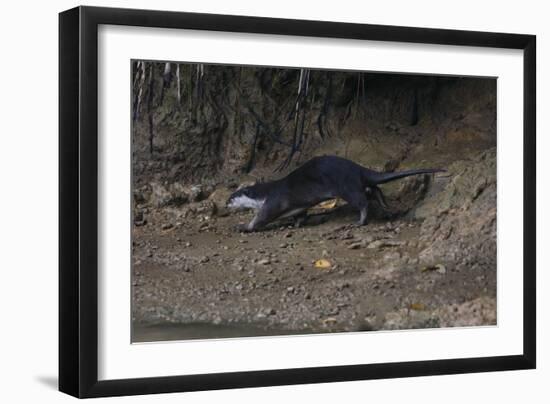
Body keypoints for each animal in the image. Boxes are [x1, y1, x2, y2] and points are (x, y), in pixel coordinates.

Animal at [226, 155, 446, 230]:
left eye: (232, 197)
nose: (226, 204)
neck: (264, 193)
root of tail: (357, 168)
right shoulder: (297, 207)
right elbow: (300, 214)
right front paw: (296, 224)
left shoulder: (273, 201)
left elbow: (261, 218)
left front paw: (243, 226)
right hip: (355, 183)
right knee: (373, 189)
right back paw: (385, 206)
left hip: (346, 186)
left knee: (362, 201)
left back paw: (360, 221)